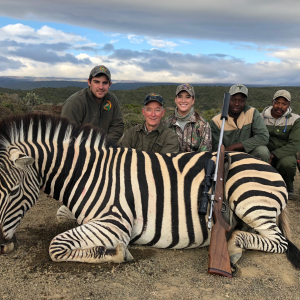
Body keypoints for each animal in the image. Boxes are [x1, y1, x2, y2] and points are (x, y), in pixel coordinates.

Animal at [0, 113, 298, 270]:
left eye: (13, 191)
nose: (2, 246)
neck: (88, 174)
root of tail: (267, 167)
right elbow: (62, 224)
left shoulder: (114, 223)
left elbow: (56, 246)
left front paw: (116, 253)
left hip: (250, 201)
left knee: (279, 242)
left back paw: (234, 247)